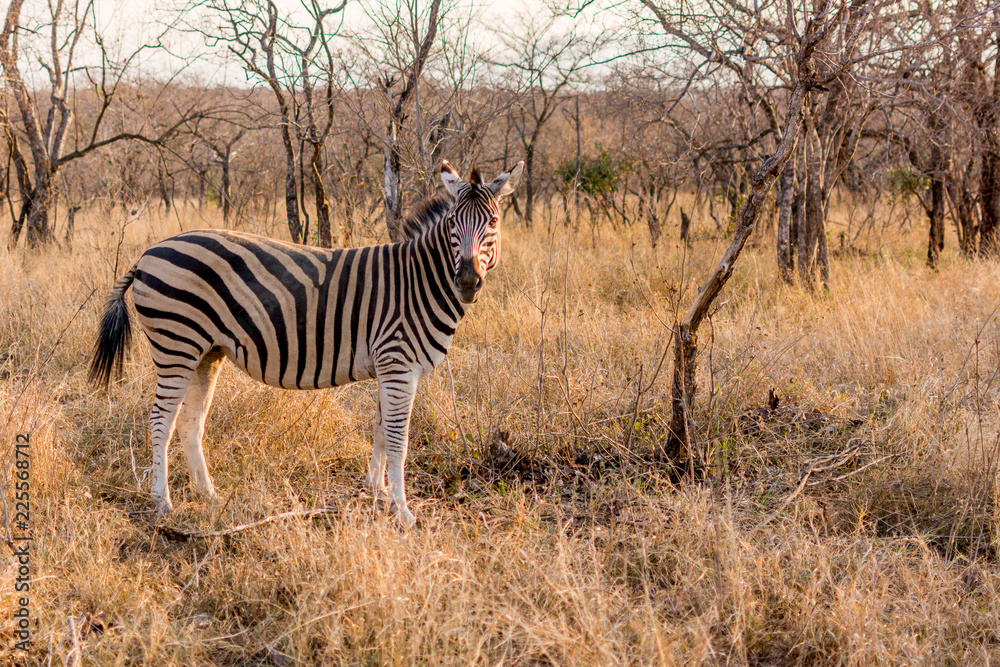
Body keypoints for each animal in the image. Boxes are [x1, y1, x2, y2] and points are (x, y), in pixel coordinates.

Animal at [90, 160, 523, 527]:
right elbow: (399, 439)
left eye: (494, 221)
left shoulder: (389, 367)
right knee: (160, 420)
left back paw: (208, 496)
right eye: (452, 223)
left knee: (190, 422)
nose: (468, 282)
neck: (418, 281)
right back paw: (163, 503)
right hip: (176, 345)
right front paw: (402, 512)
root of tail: (148, 252)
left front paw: (377, 493)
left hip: (205, 353)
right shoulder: (399, 363)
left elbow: (382, 431)